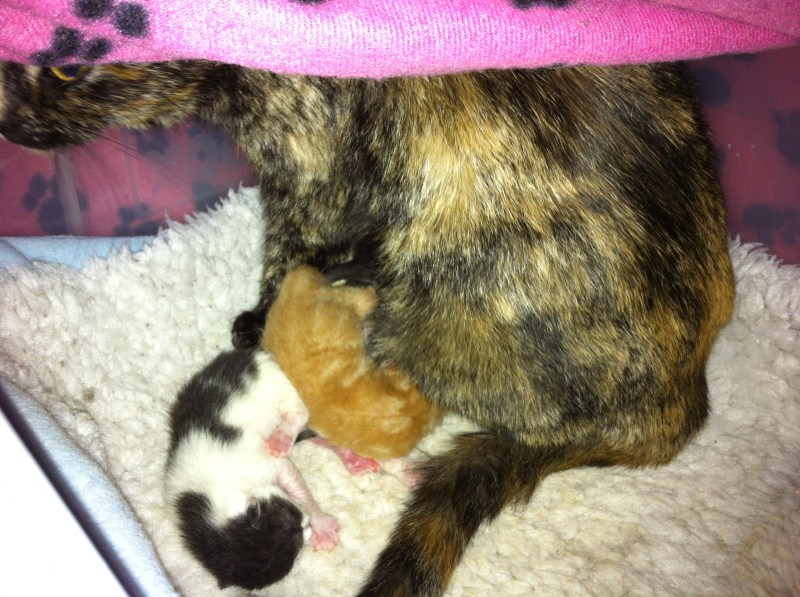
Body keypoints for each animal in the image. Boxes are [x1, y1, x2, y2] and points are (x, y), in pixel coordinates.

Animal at [165, 347, 339, 591]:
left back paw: (281, 439)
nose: (307, 528)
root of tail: (254, 353)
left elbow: (297, 484)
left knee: (299, 413)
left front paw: (322, 523)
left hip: (279, 385)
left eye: (297, 525)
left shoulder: (260, 462)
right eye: (296, 545)